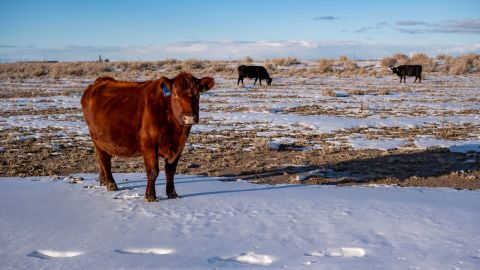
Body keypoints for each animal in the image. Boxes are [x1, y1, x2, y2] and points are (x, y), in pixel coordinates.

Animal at [81, 73, 215, 201]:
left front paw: (172, 194)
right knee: (105, 160)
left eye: (197, 94)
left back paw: (103, 181)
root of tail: (99, 81)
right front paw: (150, 196)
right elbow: (153, 171)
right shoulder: (149, 144)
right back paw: (111, 184)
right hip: (98, 139)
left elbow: (170, 171)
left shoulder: (179, 146)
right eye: (175, 94)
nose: (190, 117)